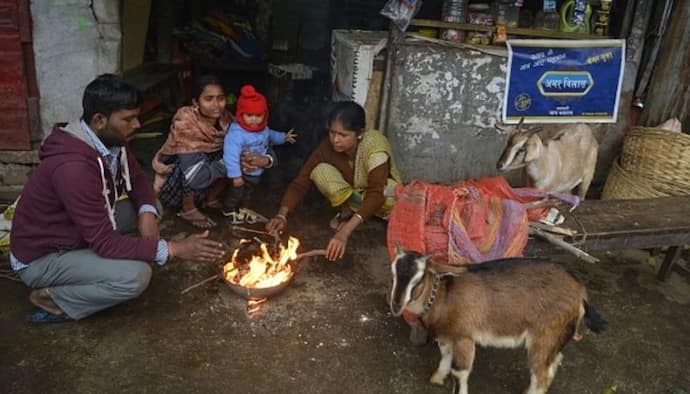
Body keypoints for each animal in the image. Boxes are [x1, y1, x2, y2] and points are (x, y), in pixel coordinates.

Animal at [390, 246, 604, 394]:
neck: (444, 295)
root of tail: (581, 292)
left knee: (541, 374)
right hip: (556, 337)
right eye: (393, 273)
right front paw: (437, 377)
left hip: (545, 335)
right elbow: (445, 356)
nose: (396, 305)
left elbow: (460, 372)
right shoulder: (446, 335)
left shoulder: (464, 336)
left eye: (419, 278)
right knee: (551, 365)